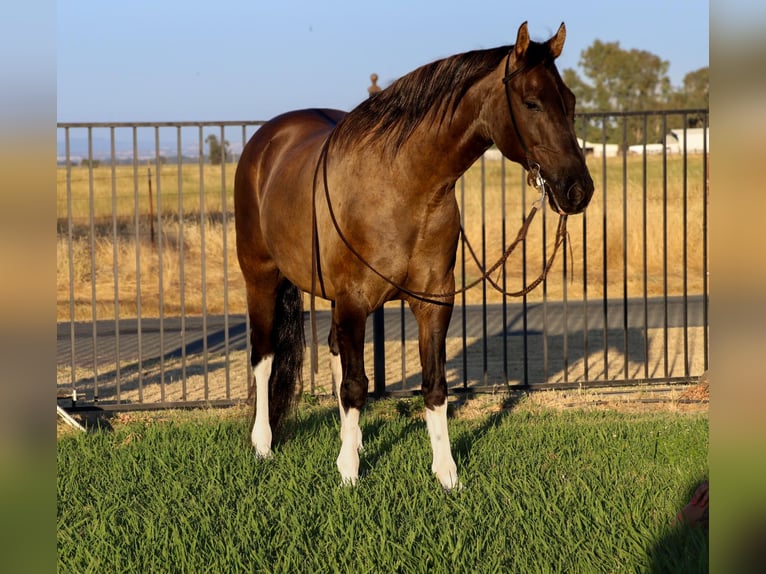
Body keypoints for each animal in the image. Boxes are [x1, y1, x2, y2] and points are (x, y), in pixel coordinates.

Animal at [234, 21, 594, 489]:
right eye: (531, 101)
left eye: (569, 101)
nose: (578, 190)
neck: (404, 185)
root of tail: (266, 141)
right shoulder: (354, 301)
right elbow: (356, 385)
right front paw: (349, 474)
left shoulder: (432, 302)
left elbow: (434, 386)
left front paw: (446, 474)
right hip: (260, 277)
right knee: (264, 357)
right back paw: (263, 445)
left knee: (332, 353)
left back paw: (353, 439)